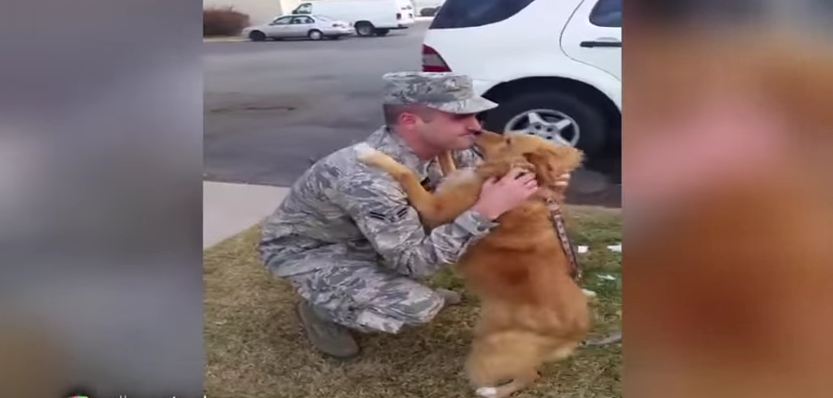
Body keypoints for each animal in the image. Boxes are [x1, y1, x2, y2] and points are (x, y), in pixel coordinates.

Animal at [358, 131, 592, 398]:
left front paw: (369, 154)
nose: (477, 131)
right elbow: (447, 161)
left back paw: (490, 391)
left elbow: (405, 173)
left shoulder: (435, 208)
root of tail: (578, 332)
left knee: (529, 375)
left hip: (488, 351)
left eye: (508, 141)